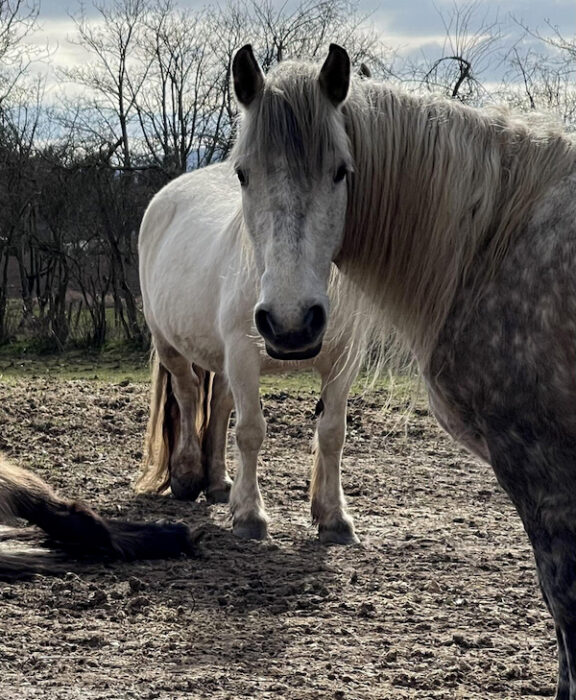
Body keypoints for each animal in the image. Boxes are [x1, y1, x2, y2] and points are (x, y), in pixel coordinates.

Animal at [136, 165, 364, 548]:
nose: (292, 324)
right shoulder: (243, 355)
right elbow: (250, 432)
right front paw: (249, 516)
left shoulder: (343, 361)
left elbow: (333, 433)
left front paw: (334, 518)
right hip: (170, 345)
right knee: (187, 393)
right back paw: (187, 475)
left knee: (219, 404)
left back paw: (217, 482)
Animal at [232, 45, 576, 700]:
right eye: (241, 172)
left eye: (341, 171)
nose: (289, 323)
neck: (494, 240)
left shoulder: (544, 468)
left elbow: (565, 603)